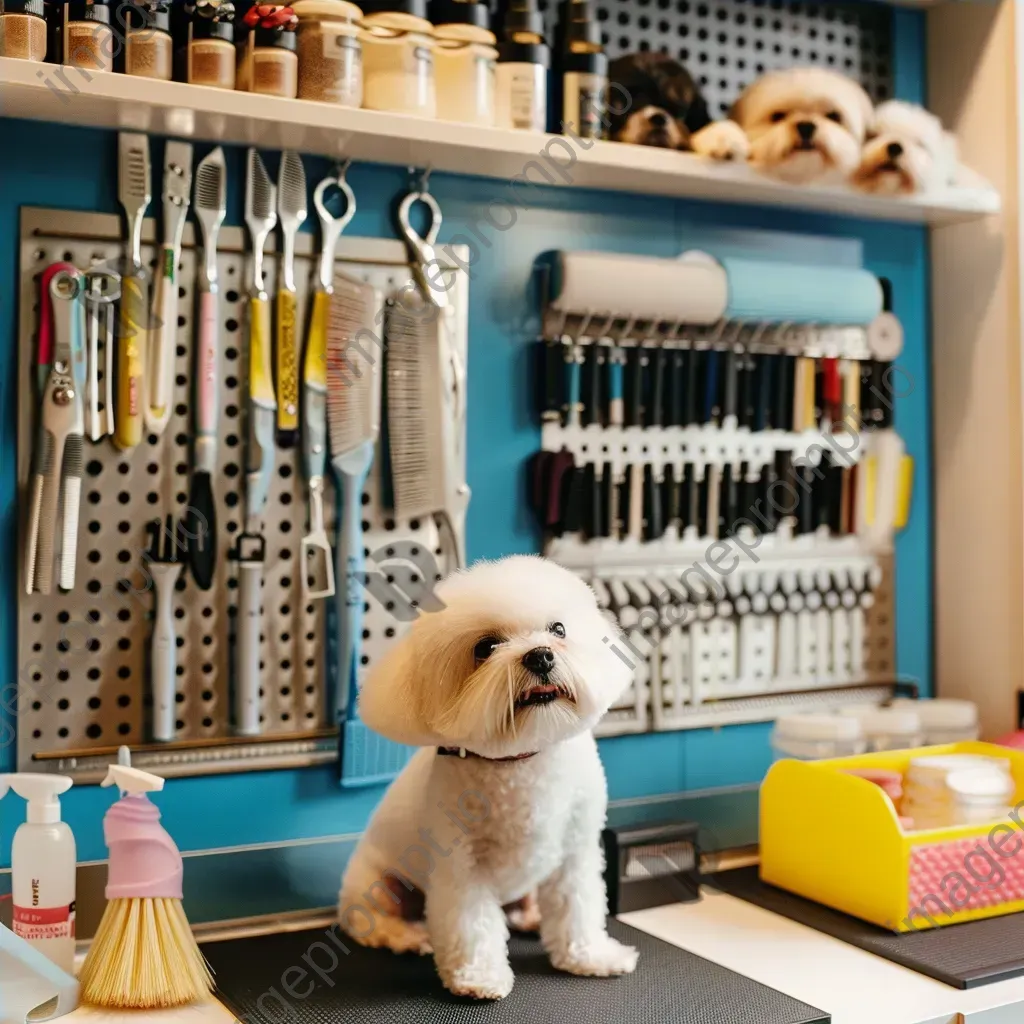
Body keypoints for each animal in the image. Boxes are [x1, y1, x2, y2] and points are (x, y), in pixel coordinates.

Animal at [339, 561, 634, 999]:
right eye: (486, 647)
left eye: (558, 629)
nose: (541, 655)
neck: (522, 759)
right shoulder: (462, 869)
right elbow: (471, 924)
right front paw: (478, 976)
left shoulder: (576, 852)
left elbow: (577, 907)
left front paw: (589, 957)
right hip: (377, 884)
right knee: (368, 925)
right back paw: (409, 936)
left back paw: (530, 916)